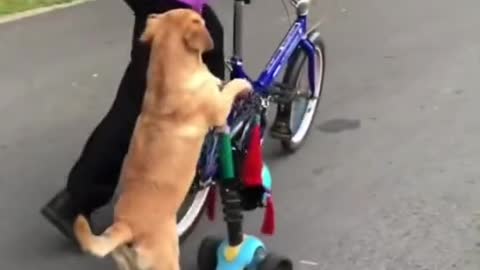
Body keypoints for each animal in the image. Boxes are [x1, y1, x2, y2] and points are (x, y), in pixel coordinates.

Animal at [72, 8, 251, 270]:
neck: (167, 81)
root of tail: (125, 227)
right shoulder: (218, 108)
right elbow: (230, 87)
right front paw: (242, 83)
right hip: (166, 258)